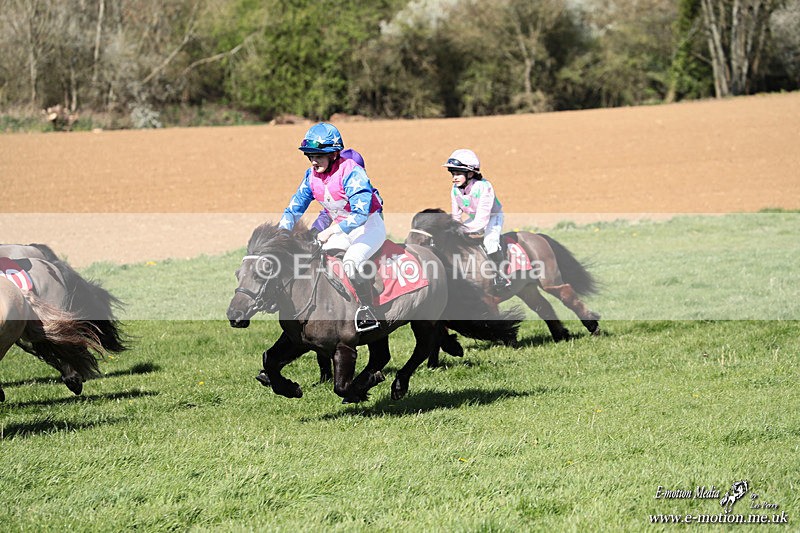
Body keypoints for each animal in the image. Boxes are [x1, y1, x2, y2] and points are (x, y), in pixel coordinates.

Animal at [227, 222, 515, 402]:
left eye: (263, 272)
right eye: (238, 273)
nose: (234, 315)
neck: (310, 292)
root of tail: (433, 254)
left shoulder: (345, 346)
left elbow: (341, 386)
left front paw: (358, 390)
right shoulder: (298, 341)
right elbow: (269, 359)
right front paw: (290, 388)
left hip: (424, 319)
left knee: (422, 349)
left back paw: (398, 385)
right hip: (382, 328)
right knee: (382, 355)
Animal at [406, 209, 601, 343]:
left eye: (425, 237)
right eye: (410, 236)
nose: (411, 251)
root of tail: (536, 236)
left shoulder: (488, 299)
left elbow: (493, 321)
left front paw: (508, 339)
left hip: (549, 281)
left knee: (566, 293)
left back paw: (592, 326)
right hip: (526, 288)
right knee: (543, 306)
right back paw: (561, 335)